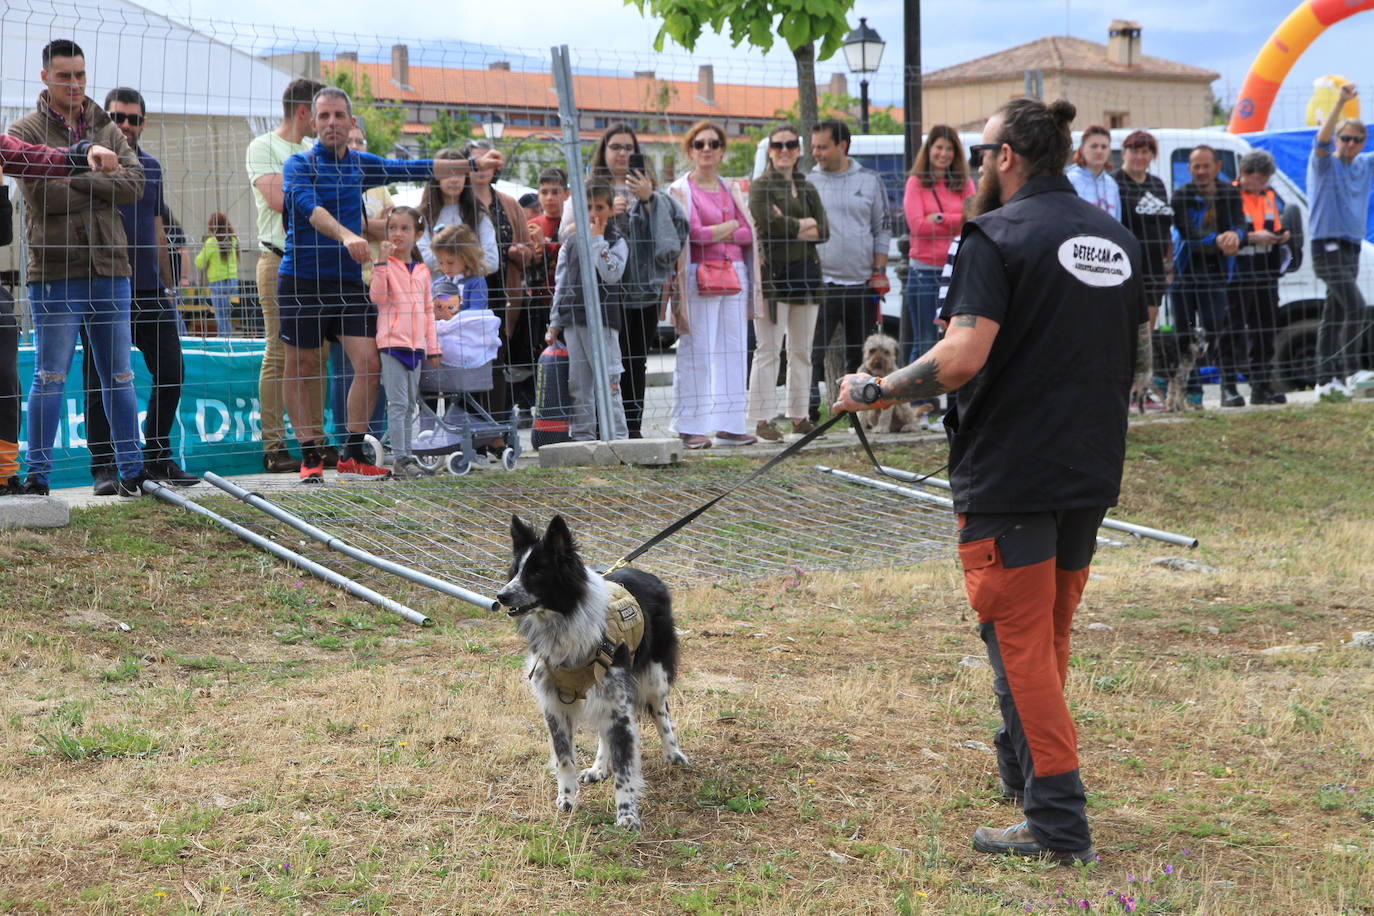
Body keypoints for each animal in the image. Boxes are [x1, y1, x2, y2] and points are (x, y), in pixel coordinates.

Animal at [494, 516, 687, 829]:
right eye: (515, 571)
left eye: (537, 572)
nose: (501, 596)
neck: (563, 620)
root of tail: (648, 575)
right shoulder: (555, 705)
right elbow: (564, 758)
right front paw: (567, 799)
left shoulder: (618, 701)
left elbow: (624, 767)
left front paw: (626, 813)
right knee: (604, 733)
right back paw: (598, 768)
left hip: (653, 677)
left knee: (661, 713)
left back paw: (673, 753)